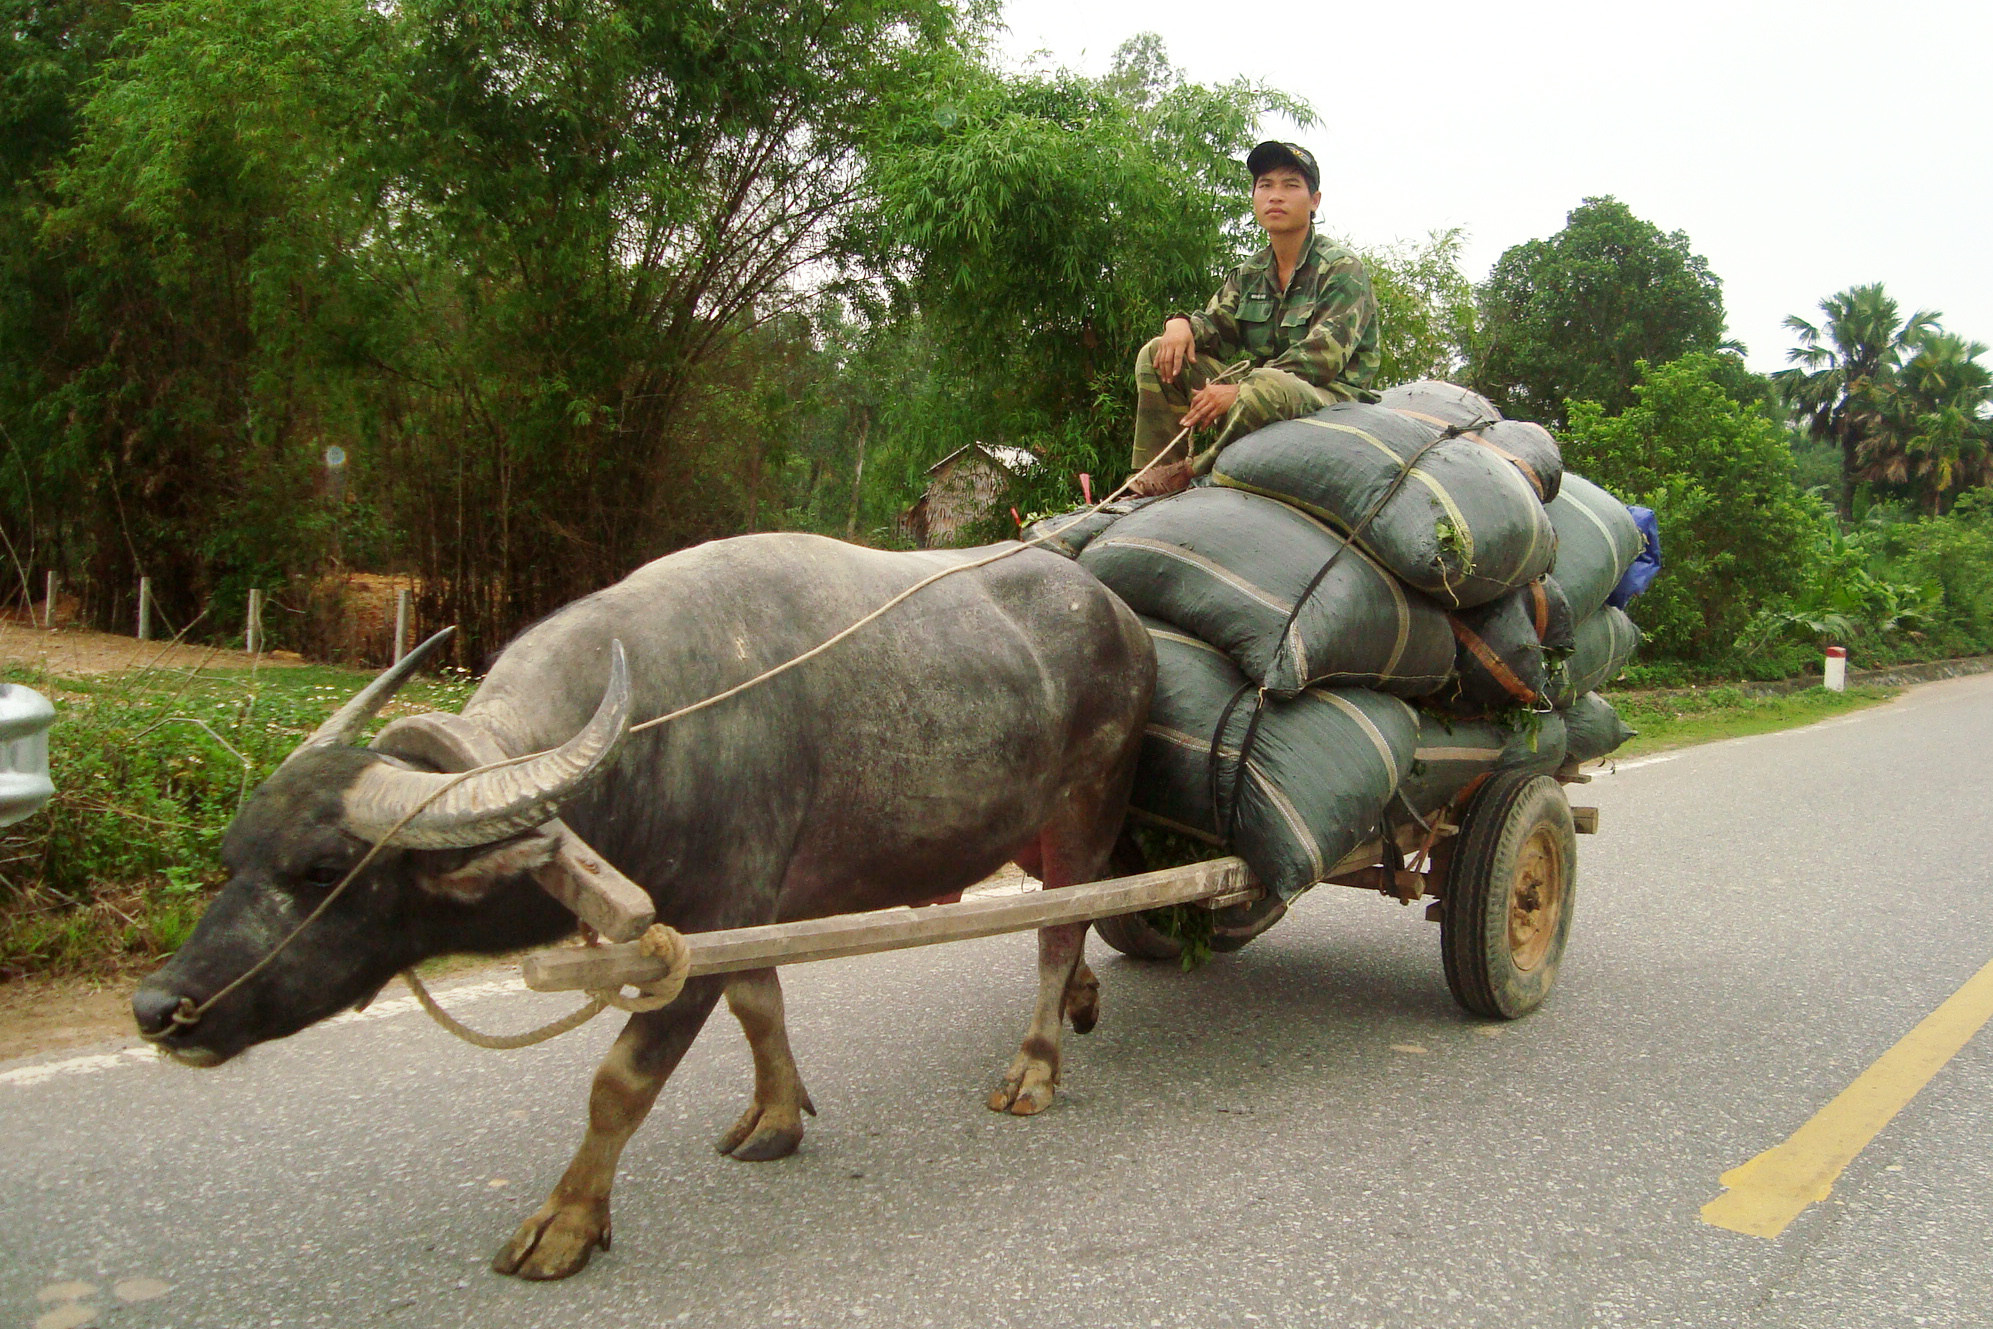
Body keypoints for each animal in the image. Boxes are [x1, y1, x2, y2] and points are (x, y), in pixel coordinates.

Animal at [128, 533, 1155, 1283]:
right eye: (232, 855)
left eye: (322, 868)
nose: (160, 1006)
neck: (650, 748)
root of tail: (1118, 614)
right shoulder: (738, 914)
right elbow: (759, 1004)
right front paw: (775, 1117)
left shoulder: (696, 924)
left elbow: (621, 1081)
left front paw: (565, 1223)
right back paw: (1083, 1004)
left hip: (1086, 809)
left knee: (1060, 926)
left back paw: (1034, 1063)